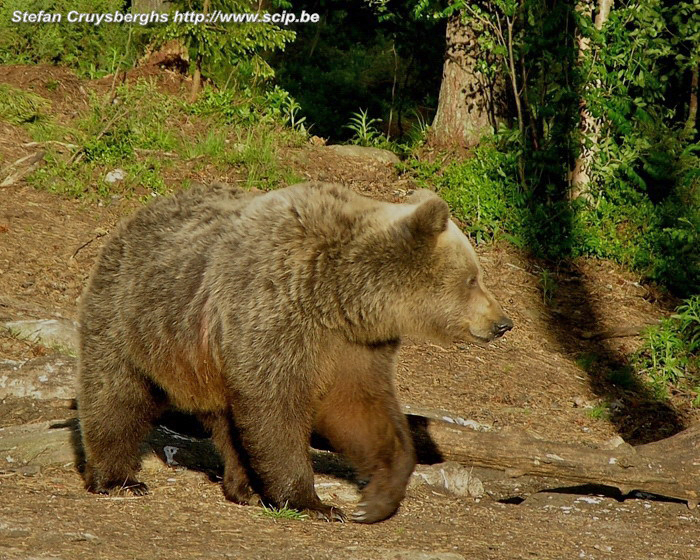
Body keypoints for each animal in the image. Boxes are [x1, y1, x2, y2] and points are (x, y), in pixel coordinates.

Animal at [78, 180, 516, 524]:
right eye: (473, 278)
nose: (502, 322)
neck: (340, 296)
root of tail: (135, 216)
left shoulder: (354, 346)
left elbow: (361, 410)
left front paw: (374, 500)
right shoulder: (276, 311)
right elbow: (276, 406)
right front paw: (313, 502)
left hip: (206, 357)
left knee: (226, 422)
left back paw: (244, 488)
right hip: (136, 315)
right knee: (116, 393)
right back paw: (118, 479)